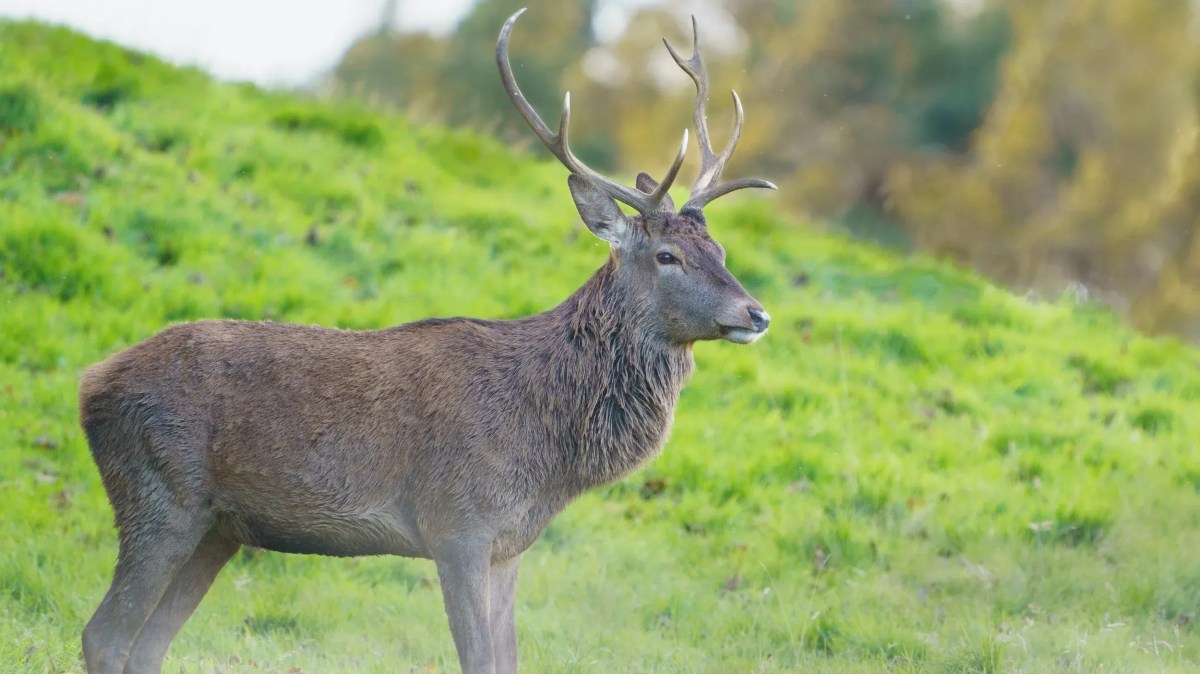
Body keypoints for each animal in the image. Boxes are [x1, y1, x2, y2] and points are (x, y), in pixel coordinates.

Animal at [79, 9, 774, 674]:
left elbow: (508, 661)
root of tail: (89, 384)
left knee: (147, 646)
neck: (550, 455)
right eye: (666, 256)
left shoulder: (509, 545)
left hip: (220, 527)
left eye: (720, 250)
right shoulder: (457, 524)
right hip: (160, 495)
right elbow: (477, 658)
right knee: (104, 635)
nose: (757, 313)